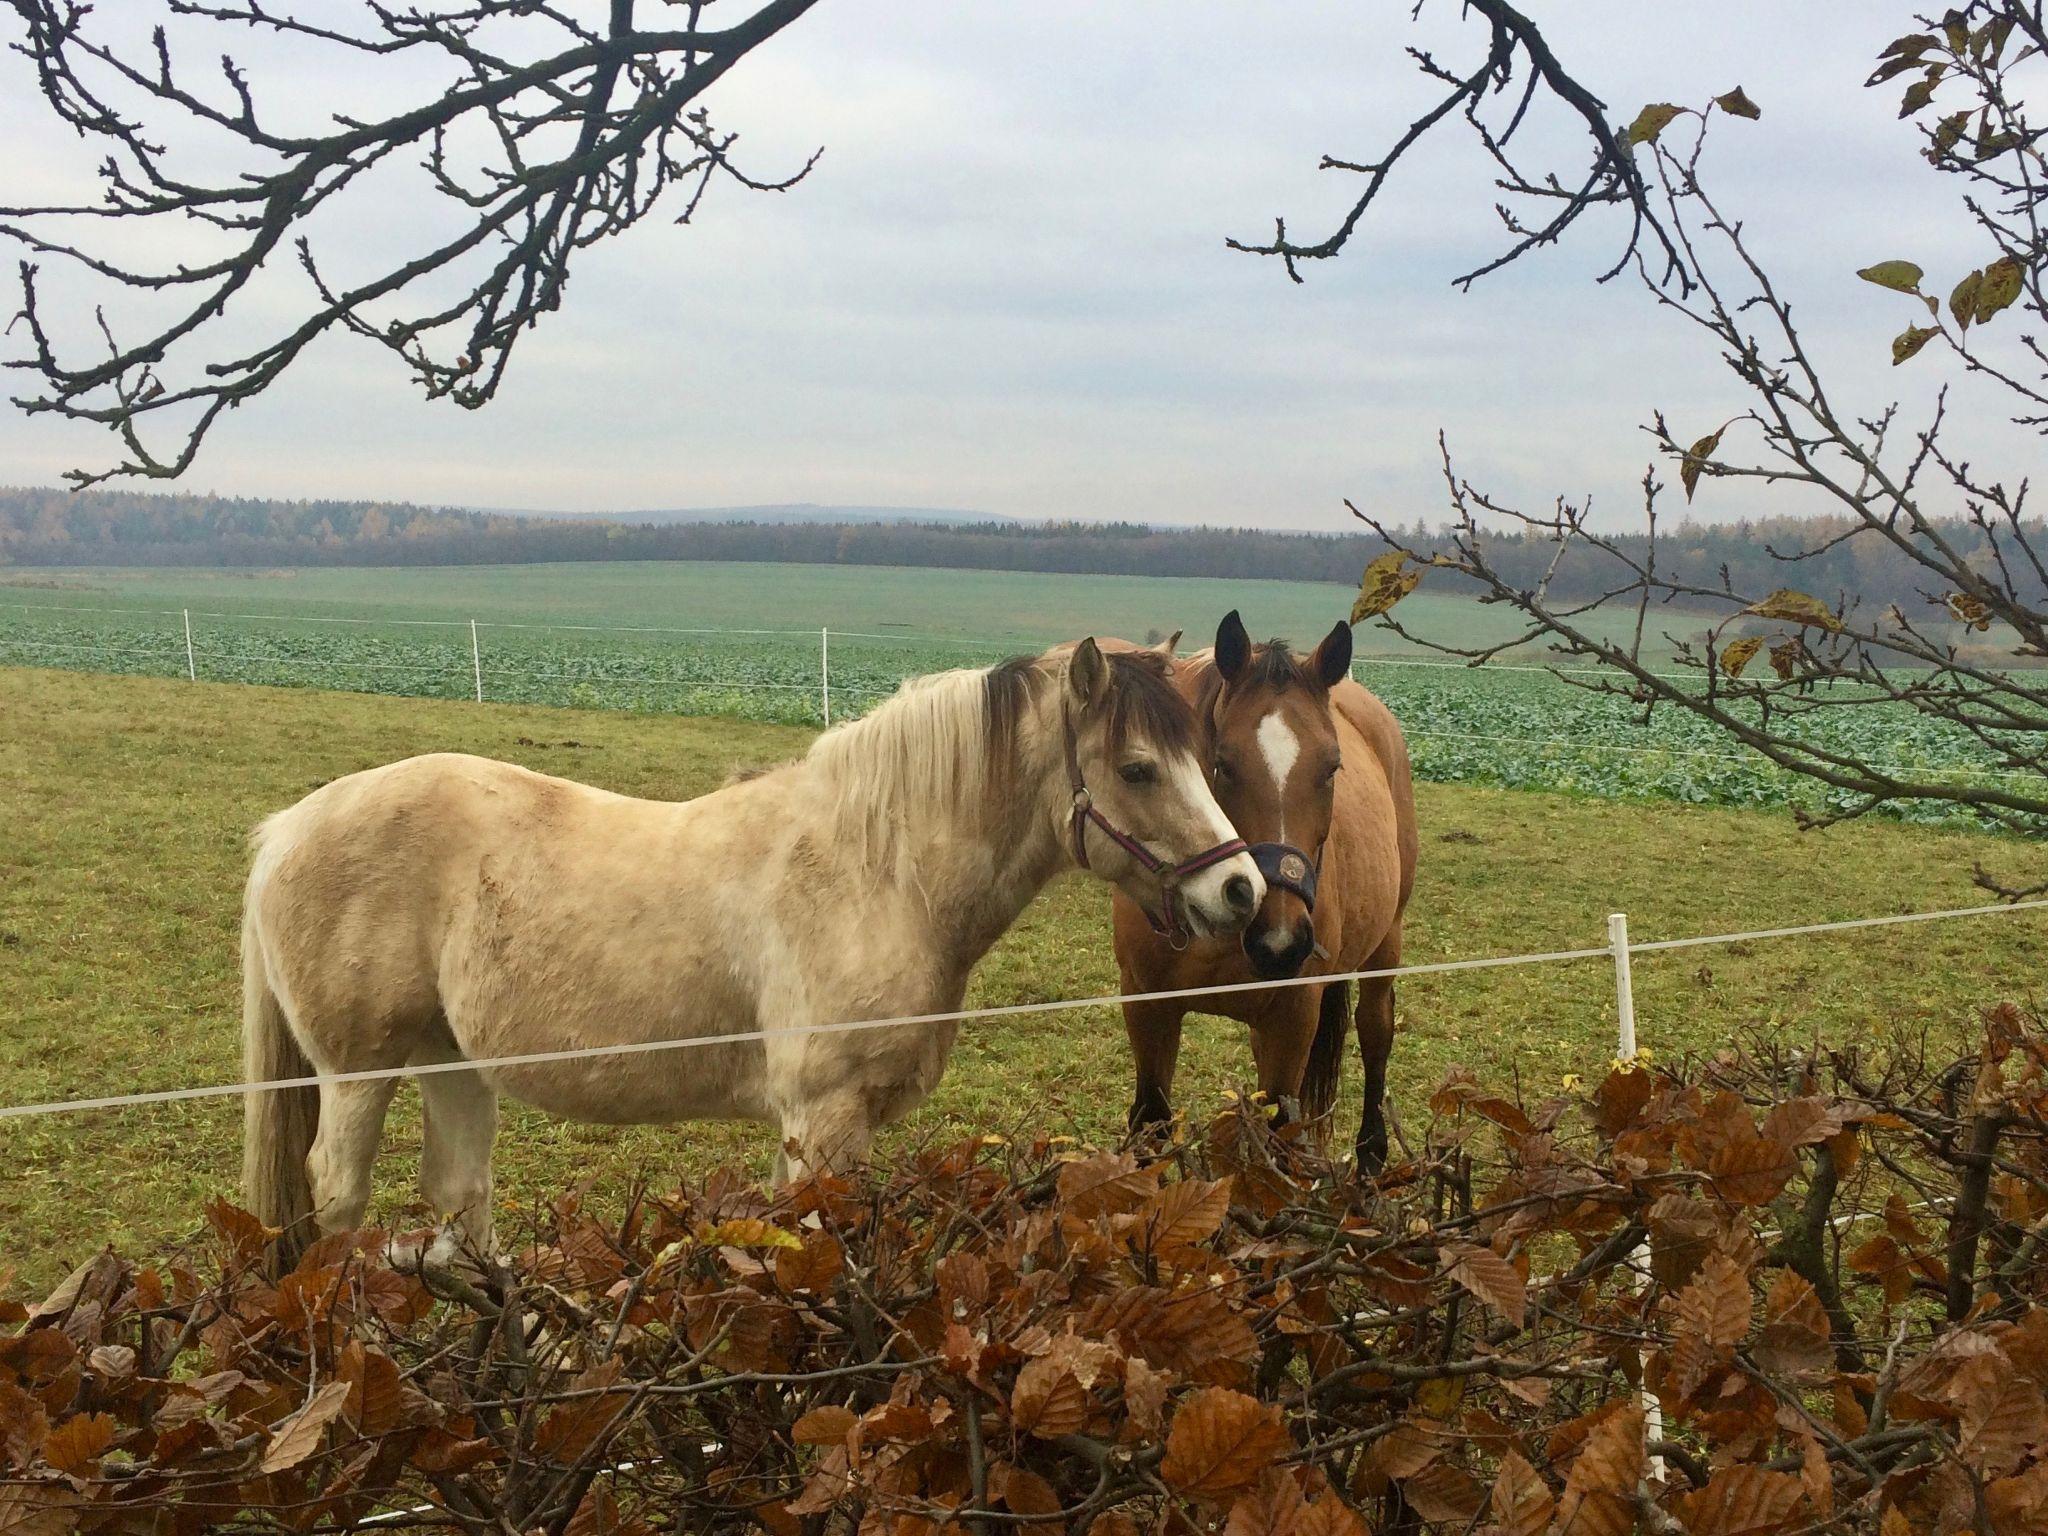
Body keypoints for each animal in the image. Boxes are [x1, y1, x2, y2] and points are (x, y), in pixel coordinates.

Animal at [243, 643, 1261, 1253]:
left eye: (1200, 762)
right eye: (1137, 769)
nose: (1241, 890)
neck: (877, 869)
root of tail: (288, 828)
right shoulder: (826, 1115)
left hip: (451, 1061)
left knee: (459, 1196)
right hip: (358, 1074)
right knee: (337, 1196)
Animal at [1114, 614, 1417, 1163]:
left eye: (1332, 767)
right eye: (1224, 763)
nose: (1280, 941)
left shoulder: (1292, 1019)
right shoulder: (1147, 1005)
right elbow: (1151, 1121)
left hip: (1387, 943)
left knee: (1376, 1031)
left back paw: (1371, 1153)